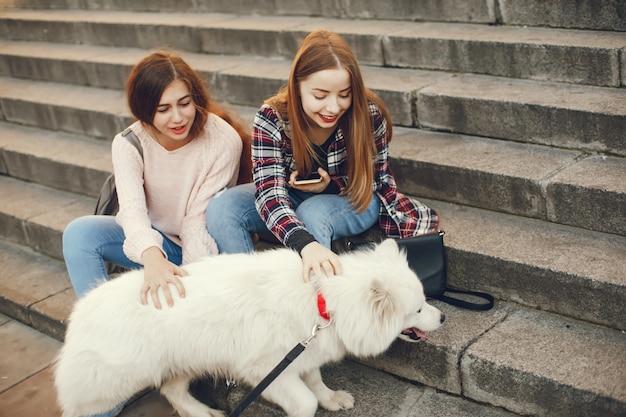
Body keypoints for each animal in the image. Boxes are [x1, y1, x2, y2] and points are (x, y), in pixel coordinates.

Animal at [54, 239, 444, 414]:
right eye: (418, 309)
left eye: (426, 300)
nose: (442, 317)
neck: (324, 303)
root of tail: (80, 310)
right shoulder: (266, 370)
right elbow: (304, 400)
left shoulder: (304, 352)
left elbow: (316, 381)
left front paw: (332, 399)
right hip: (109, 384)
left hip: (189, 359)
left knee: (172, 391)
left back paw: (205, 413)